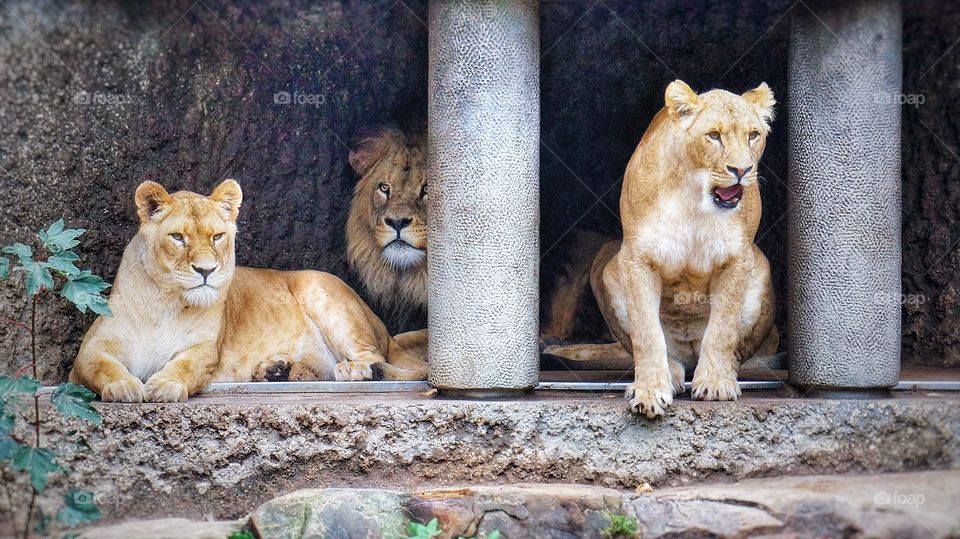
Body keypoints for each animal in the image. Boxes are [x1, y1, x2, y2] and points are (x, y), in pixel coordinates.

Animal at [70, 179, 424, 402]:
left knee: (374, 356)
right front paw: (125, 388)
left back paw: (356, 369)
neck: (165, 303)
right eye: (178, 238)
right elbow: (101, 365)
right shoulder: (89, 352)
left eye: (217, 237)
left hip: (320, 288)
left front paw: (164, 386)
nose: (206, 271)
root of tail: (385, 330)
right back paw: (276, 370)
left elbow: (184, 365)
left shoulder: (204, 350)